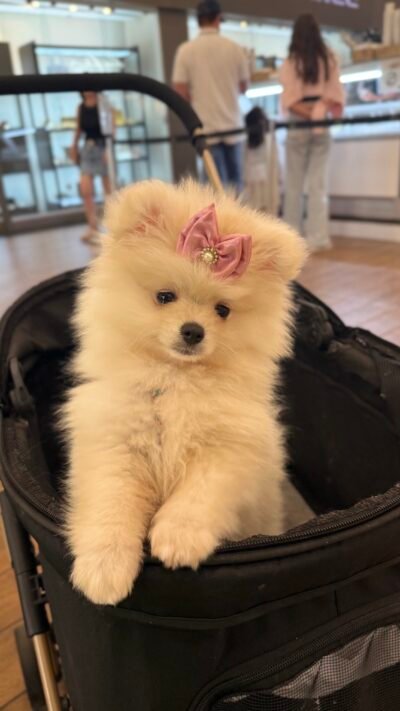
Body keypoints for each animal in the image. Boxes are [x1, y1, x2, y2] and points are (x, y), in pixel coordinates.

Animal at [62, 179, 306, 605]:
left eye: (223, 310)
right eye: (165, 297)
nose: (193, 330)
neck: (176, 380)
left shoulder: (228, 448)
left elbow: (199, 495)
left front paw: (179, 539)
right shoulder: (114, 445)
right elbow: (111, 507)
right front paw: (104, 569)